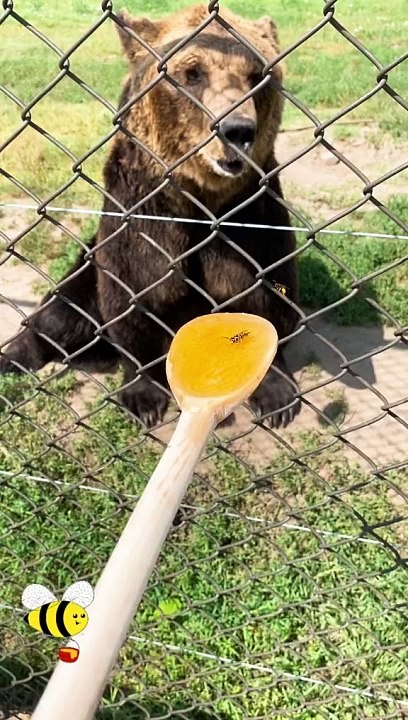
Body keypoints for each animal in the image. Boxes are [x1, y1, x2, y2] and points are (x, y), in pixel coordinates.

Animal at [0, 4, 301, 430]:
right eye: (193, 72)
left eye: (258, 74)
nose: (238, 130)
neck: (200, 204)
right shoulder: (141, 218)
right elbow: (136, 299)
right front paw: (143, 397)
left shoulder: (253, 220)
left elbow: (265, 297)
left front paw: (278, 398)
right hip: (86, 268)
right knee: (59, 315)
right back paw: (14, 357)